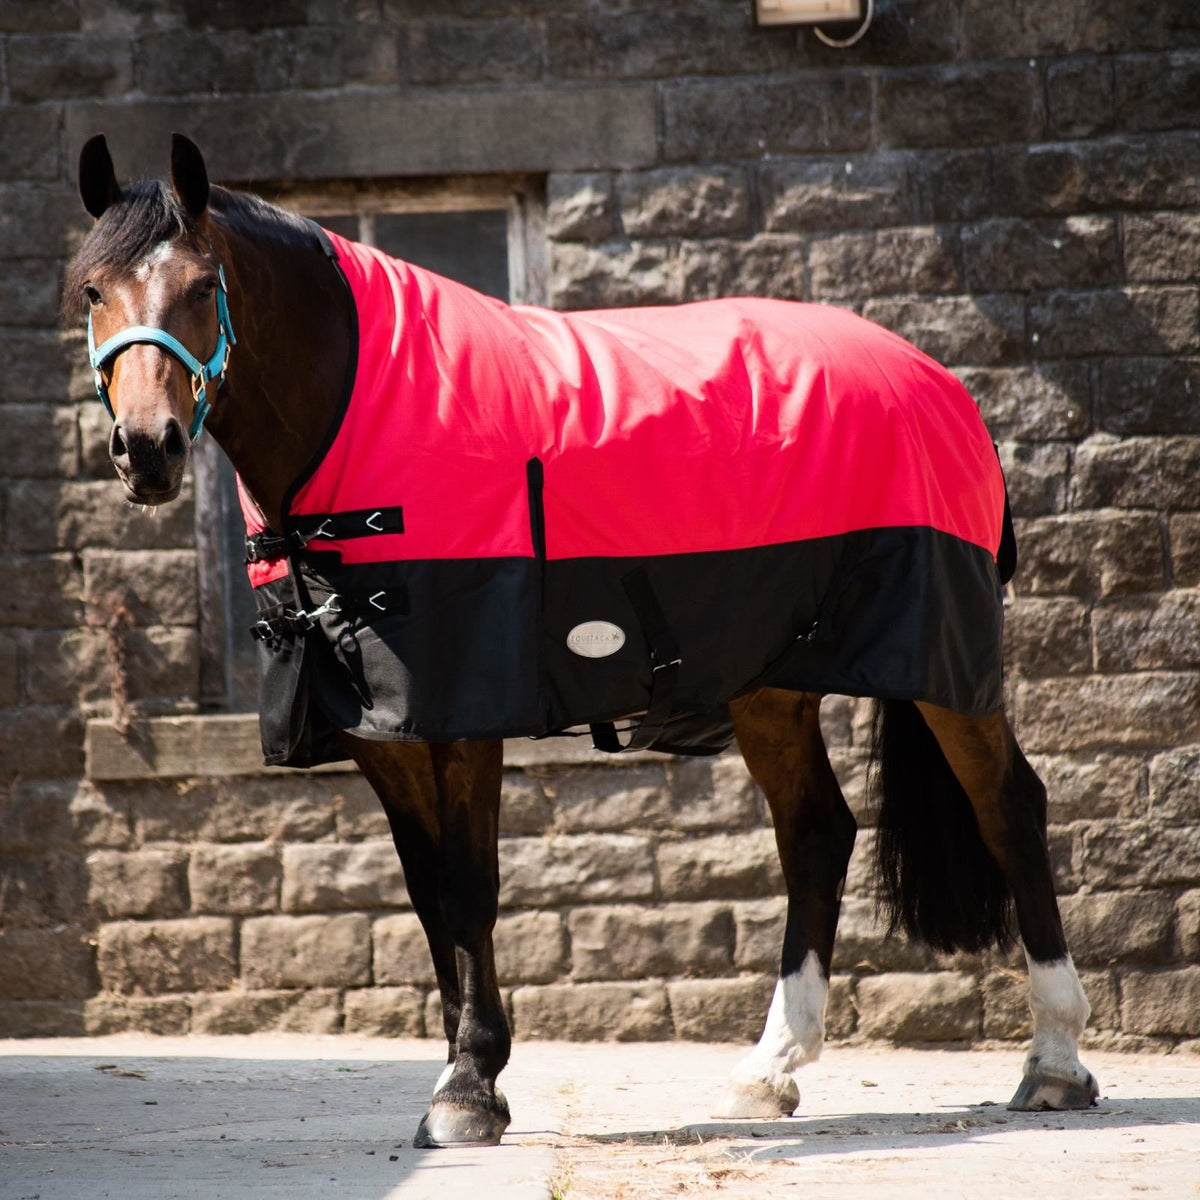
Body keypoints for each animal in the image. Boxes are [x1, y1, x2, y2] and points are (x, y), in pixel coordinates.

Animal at [64, 133, 1099, 1148]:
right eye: (91, 289)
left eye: (204, 284)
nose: (146, 448)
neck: (361, 412)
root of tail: (944, 387)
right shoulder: (381, 732)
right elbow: (428, 896)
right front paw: (463, 1071)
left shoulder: (465, 715)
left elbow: (468, 888)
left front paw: (469, 1087)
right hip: (770, 682)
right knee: (815, 832)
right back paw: (770, 1071)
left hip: (945, 662)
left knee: (1008, 807)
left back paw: (1053, 1064)